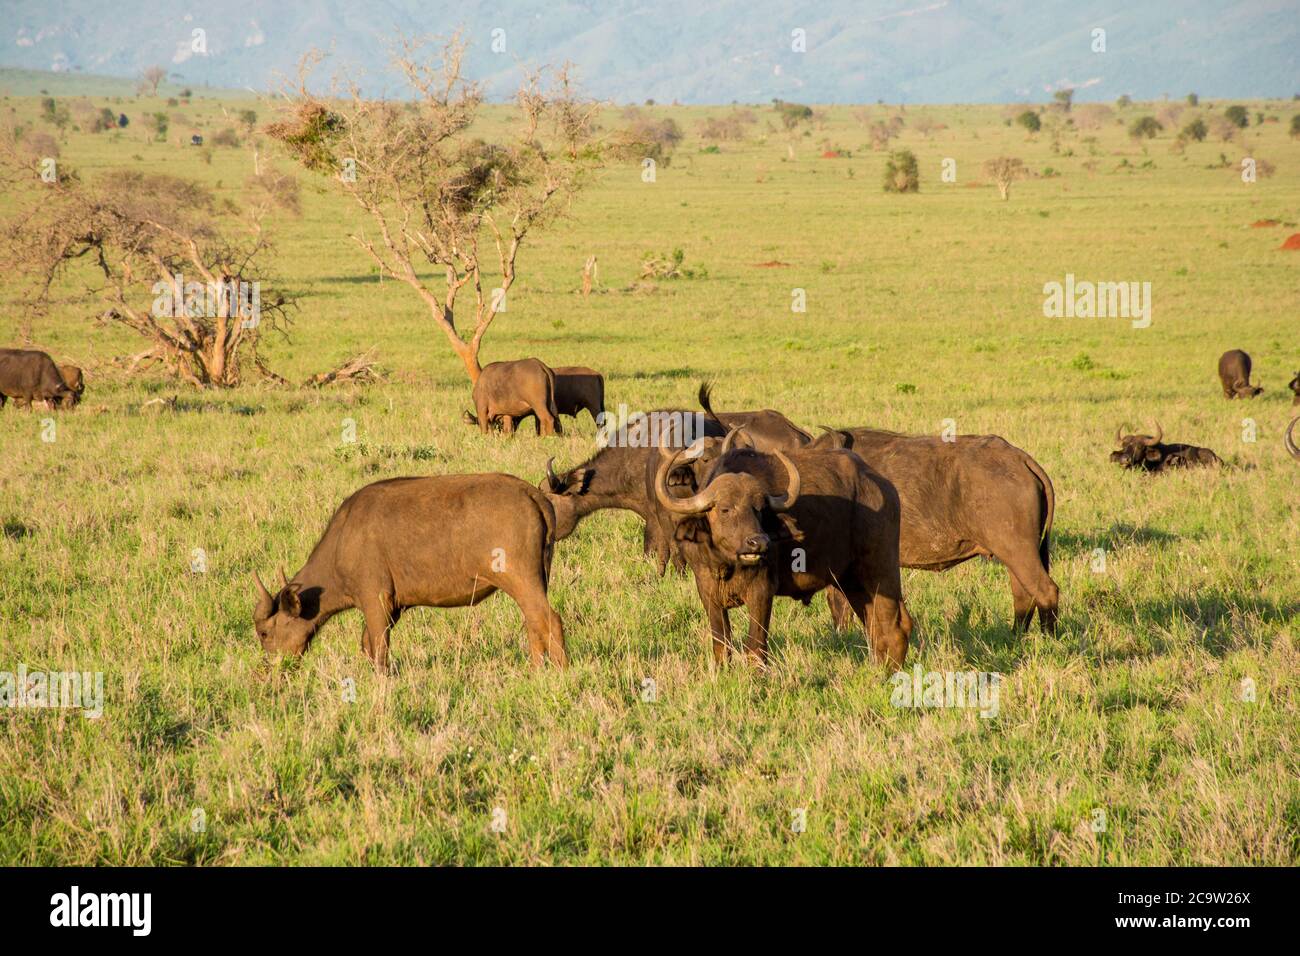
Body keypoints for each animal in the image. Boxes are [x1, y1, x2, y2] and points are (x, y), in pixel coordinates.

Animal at [250, 476, 566, 671]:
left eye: (265, 633)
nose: (273, 667)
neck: (343, 538)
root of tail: (532, 493)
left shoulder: (375, 602)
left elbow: (377, 647)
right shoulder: (395, 608)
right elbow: (367, 645)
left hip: (521, 581)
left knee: (549, 620)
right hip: (537, 580)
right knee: (534, 623)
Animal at [655, 434, 909, 671]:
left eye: (759, 509)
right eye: (725, 509)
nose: (758, 543)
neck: (726, 564)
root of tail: (884, 488)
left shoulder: (762, 592)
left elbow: (755, 645)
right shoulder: (708, 593)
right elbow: (721, 644)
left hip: (880, 570)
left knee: (895, 624)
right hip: (850, 580)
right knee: (875, 625)